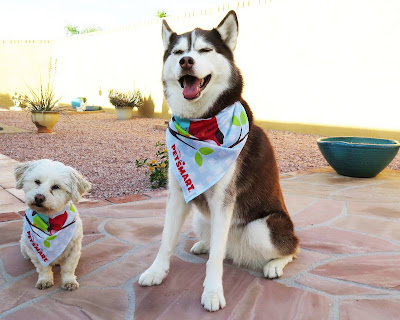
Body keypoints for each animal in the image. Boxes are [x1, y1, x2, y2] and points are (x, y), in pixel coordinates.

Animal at [13, 159, 91, 290]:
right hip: (24, 245)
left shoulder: (73, 250)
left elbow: (68, 268)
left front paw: (69, 281)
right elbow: (42, 268)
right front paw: (45, 280)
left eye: (56, 187)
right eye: (37, 181)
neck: (51, 219)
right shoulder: (35, 251)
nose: (39, 197)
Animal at [139, 10, 298, 312]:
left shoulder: (224, 199)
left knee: (293, 249)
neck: (202, 122)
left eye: (204, 50)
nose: (186, 61)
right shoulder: (178, 192)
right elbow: (166, 240)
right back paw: (204, 245)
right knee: (214, 242)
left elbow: (214, 262)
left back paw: (274, 265)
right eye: (178, 52)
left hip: (262, 228)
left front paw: (212, 292)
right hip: (202, 220)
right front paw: (156, 271)